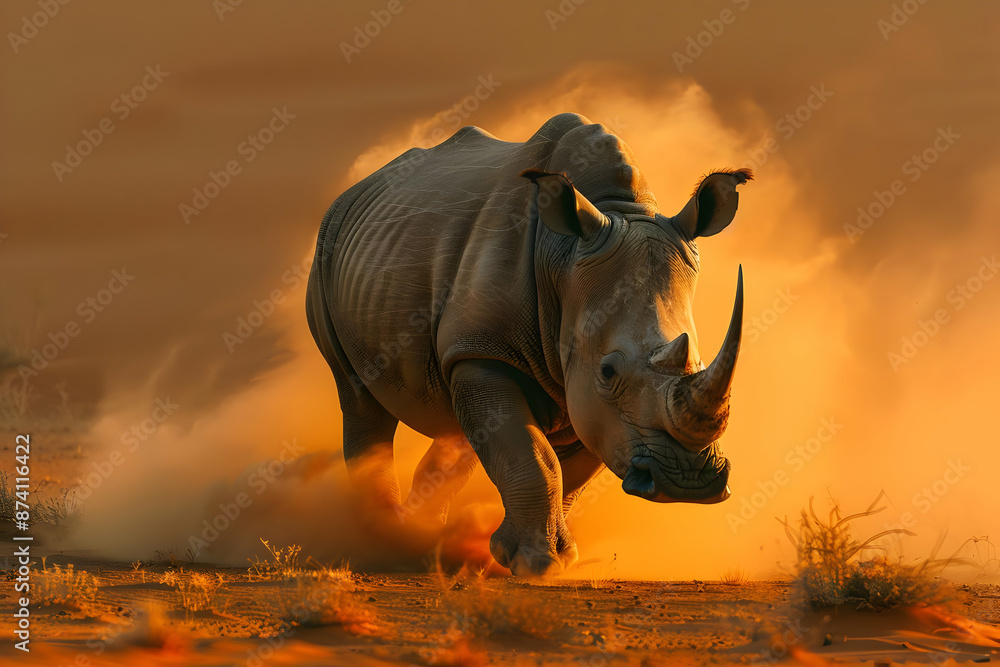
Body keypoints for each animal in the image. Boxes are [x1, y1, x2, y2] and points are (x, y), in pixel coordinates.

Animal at [306, 112, 751, 576]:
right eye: (609, 371)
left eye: (698, 362)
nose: (689, 481)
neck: (564, 256)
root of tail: (358, 188)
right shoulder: (488, 351)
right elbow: (534, 457)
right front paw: (537, 563)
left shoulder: (584, 397)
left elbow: (567, 472)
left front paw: (557, 556)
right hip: (327, 249)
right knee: (359, 398)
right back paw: (384, 536)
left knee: (455, 425)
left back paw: (419, 535)